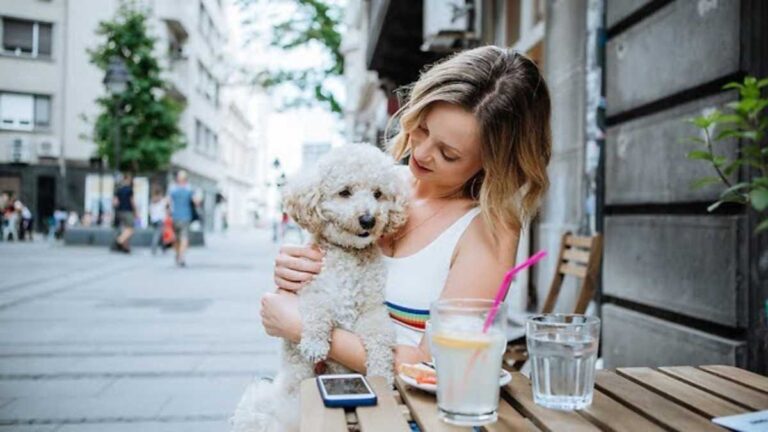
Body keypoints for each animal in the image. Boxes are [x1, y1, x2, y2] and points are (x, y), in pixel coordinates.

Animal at [231, 144, 408, 432]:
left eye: (378, 193)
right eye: (345, 192)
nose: (368, 219)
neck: (348, 254)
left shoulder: (373, 310)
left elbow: (380, 337)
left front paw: (381, 372)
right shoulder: (311, 291)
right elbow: (318, 310)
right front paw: (315, 343)